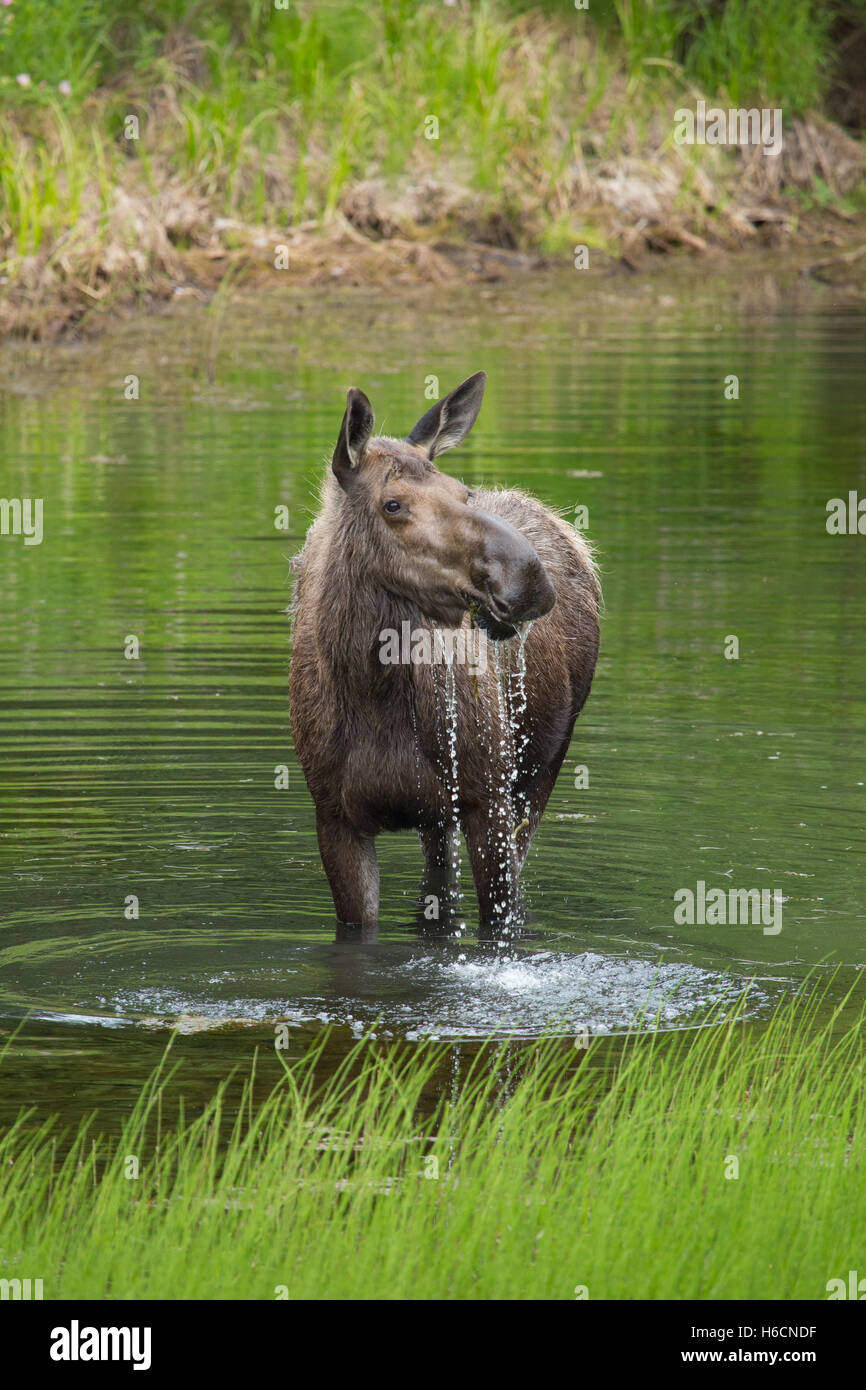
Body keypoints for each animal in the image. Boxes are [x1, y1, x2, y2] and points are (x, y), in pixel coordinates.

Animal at [287, 369, 600, 939]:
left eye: (462, 491)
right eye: (392, 504)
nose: (528, 576)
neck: (374, 695)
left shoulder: (487, 801)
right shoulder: (334, 817)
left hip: (541, 768)